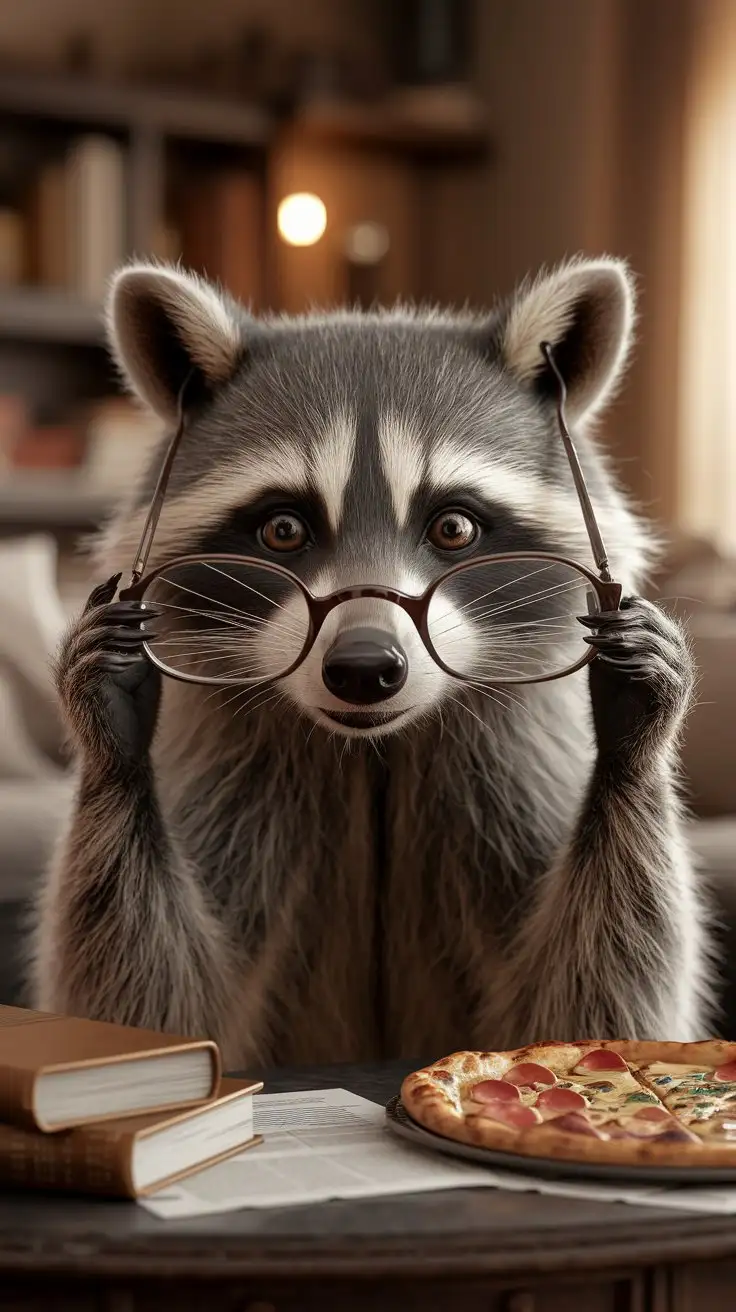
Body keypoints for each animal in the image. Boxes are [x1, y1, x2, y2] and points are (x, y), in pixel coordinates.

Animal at [30, 253, 713, 1065]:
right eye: (284, 529)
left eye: (454, 527)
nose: (362, 665)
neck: (373, 751)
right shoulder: (225, 779)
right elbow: (156, 1005)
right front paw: (113, 736)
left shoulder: (518, 768)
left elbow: (587, 1002)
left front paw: (633, 742)